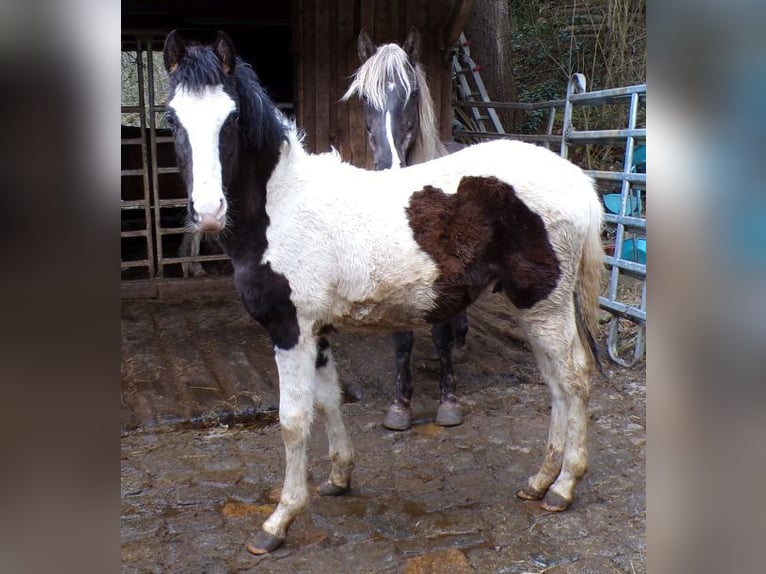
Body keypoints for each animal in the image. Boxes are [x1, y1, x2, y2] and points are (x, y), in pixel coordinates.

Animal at [342, 27, 467, 430]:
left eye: (411, 94)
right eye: (364, 96)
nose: (390, 164)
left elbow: (441, 335)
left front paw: (448, 402)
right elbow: (401, 340)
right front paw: (399, 405)